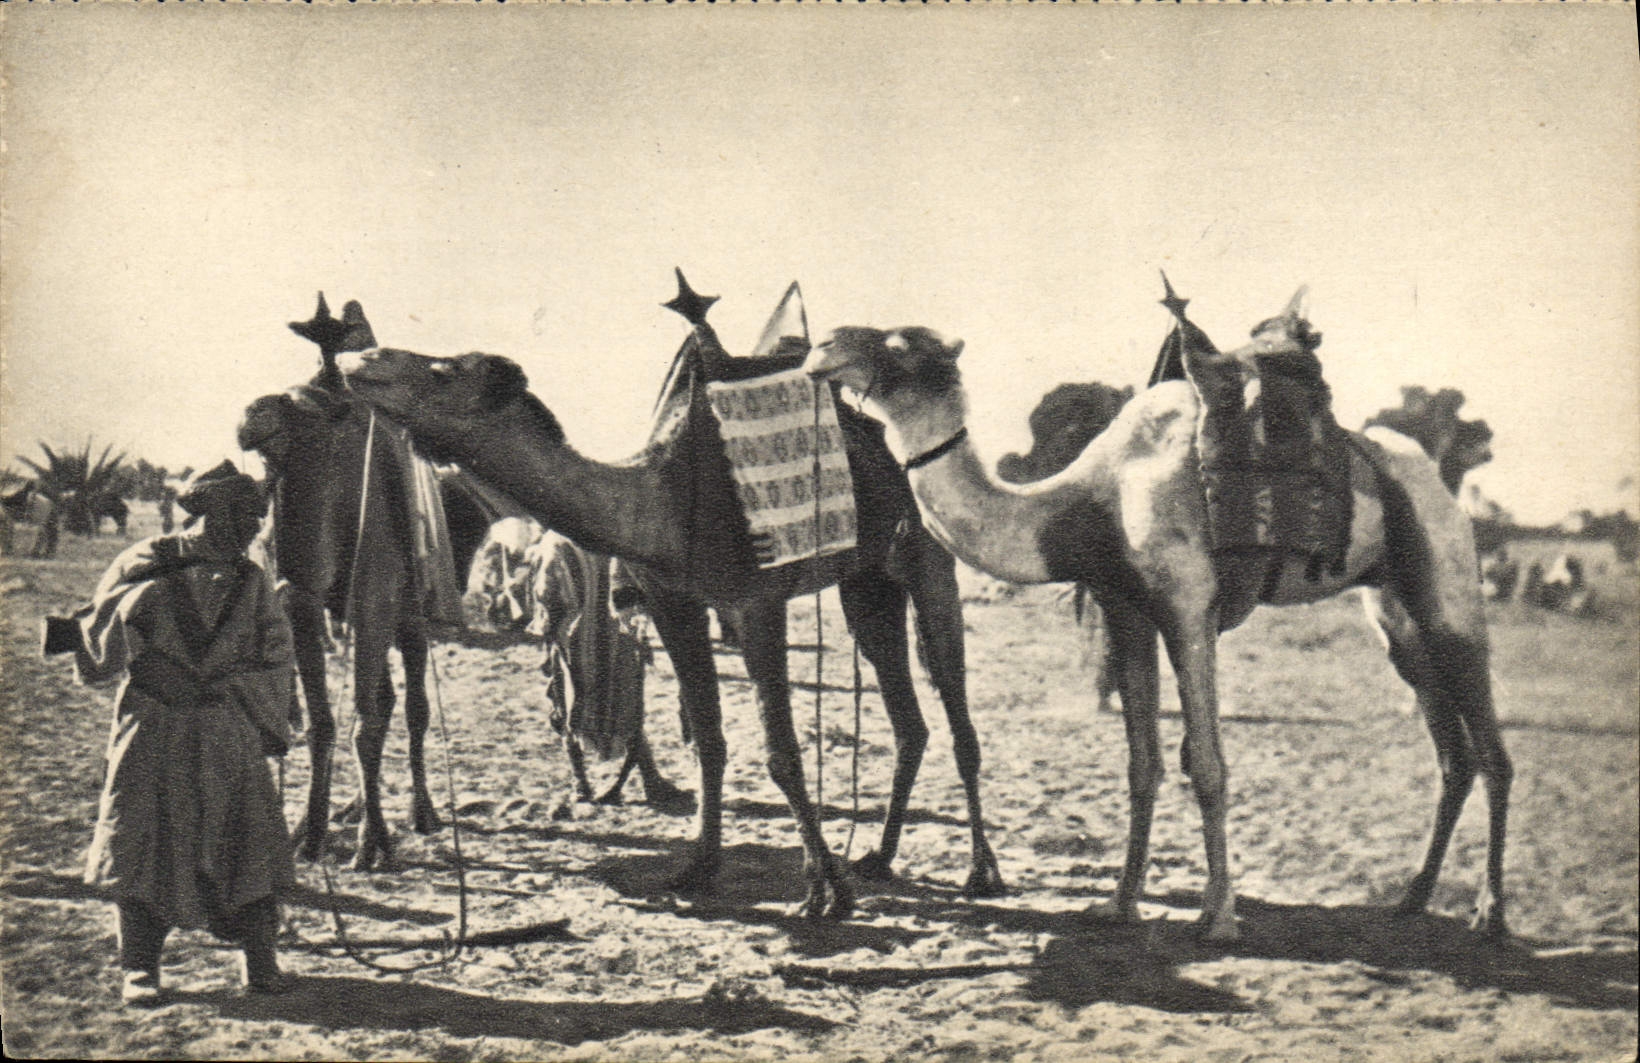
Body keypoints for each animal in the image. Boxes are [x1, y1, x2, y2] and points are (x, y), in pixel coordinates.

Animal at [340, 277, 1004, 918]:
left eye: (442, 370)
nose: (360, 358)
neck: (663, 504)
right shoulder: (673, 604)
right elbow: (709, 738)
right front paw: (699, 867)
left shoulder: (754, 603)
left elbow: (781, 751)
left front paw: (824, 891)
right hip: (866, 582)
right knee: (908, 720)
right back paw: (880, 857)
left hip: (926, 554)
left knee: (955, 708)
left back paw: (981, 872)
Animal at [802, 288, 1512, 942]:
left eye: (900, 343)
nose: (823, 346)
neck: (1096, 499)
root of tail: (1435, 480)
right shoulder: (1126, 611)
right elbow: (1141, 764)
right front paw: (1119, 904)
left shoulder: (1187, 608)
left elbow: (1208, 765)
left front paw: (1218, 917)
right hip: (1395, 617)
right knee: (1454, 757)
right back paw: (1413, 898)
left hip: (1448, 588)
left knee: (1492, 751)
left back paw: (1490, 914)